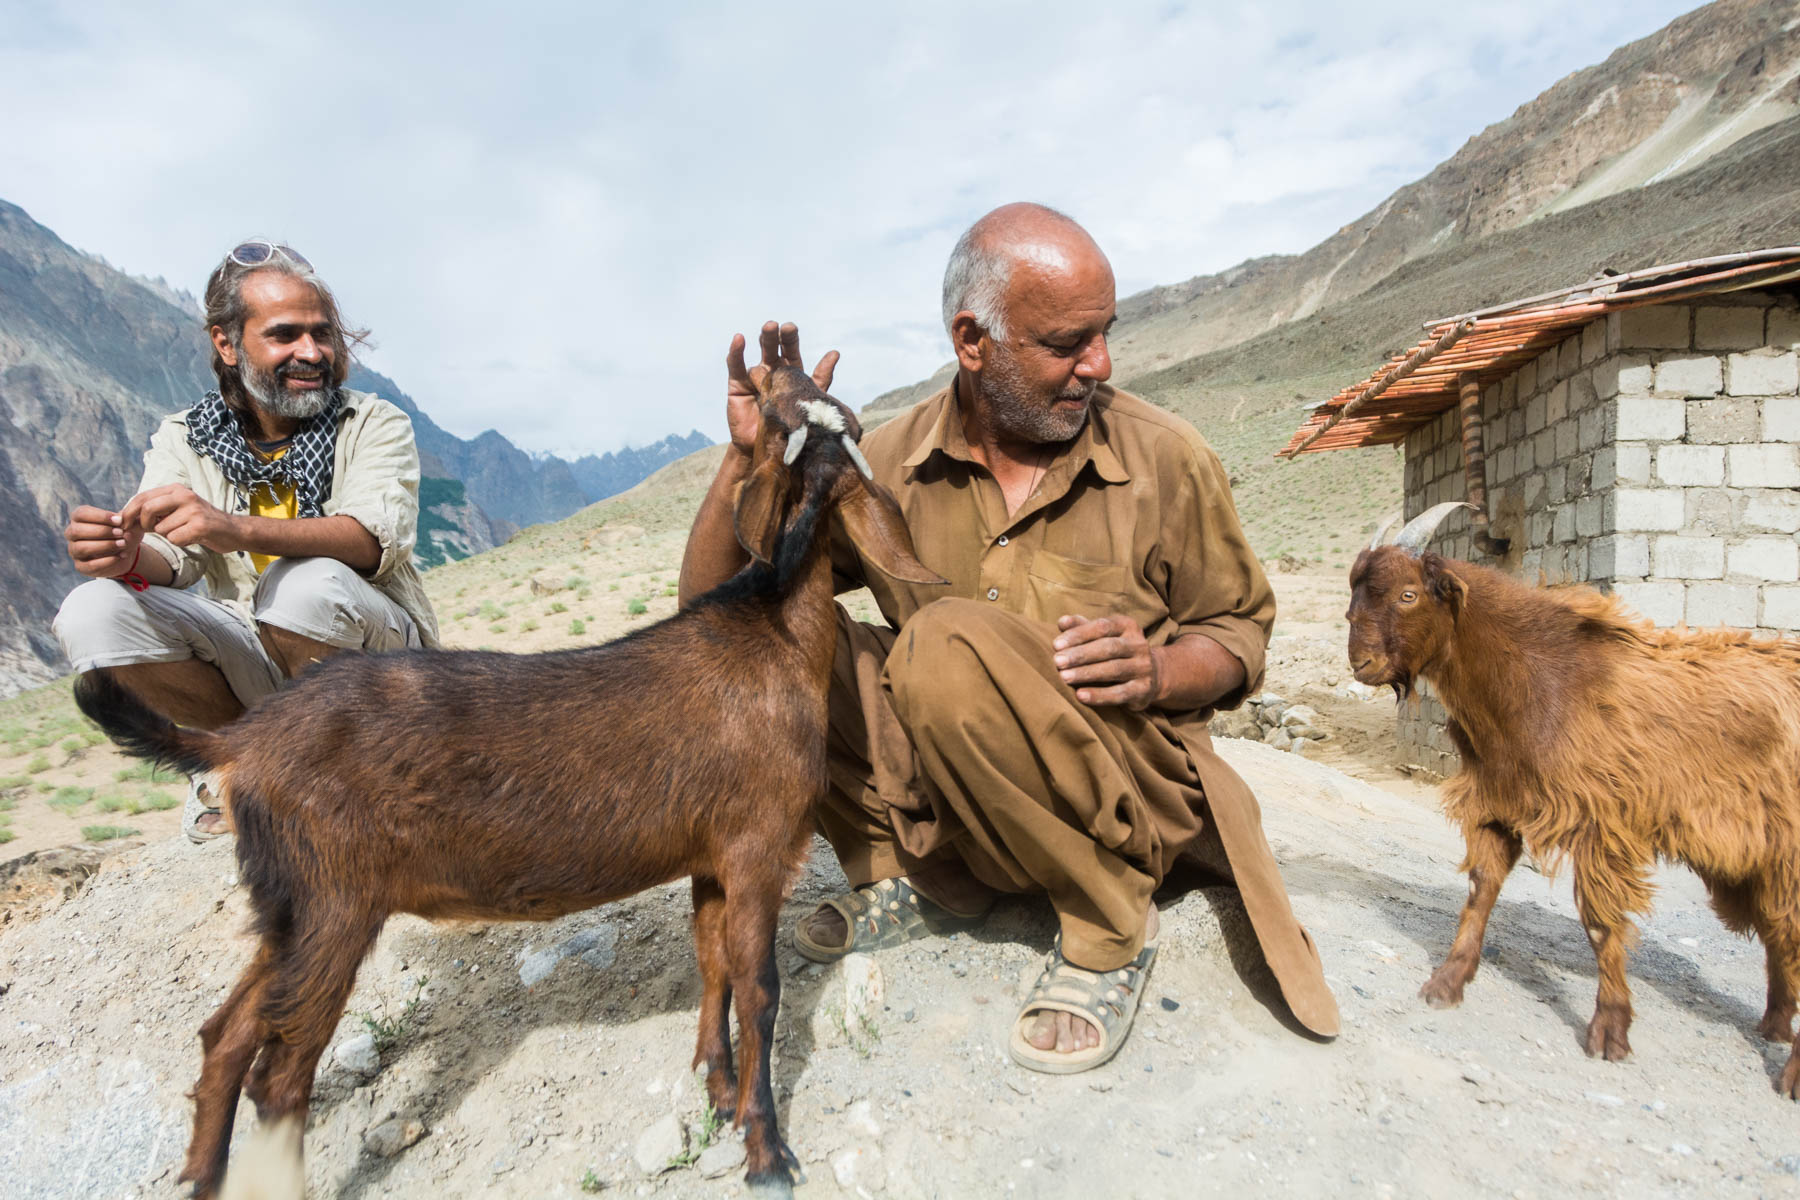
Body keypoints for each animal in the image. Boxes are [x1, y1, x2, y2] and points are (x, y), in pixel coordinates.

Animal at [73, 368, 943, 1200]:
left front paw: (719, 1092)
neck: (771, 631)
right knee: (280, 1077)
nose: (800, 411)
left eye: (838, 424)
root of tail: (242, 737)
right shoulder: (760, 847)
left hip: (287, 906)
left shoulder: (710, 857)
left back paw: (202, 1177)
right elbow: (759, 988)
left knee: (224, 1037)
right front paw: (766, 1151)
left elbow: (713, 964)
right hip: (334, 907)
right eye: (776, 423)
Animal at [1353, 507, 1800, 1101]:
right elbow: (1479, 892)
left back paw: (1791, 1070)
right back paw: (1774, 1025)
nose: (1360, 662)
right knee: (1778, 930)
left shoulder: (1602, 824)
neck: (1540, 679)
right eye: (1355, 590)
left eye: (1408, 594)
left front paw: (1610, 1030)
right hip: (1753, 857)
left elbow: (1600, 923)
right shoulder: (1497, 802)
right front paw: (1446, 983)